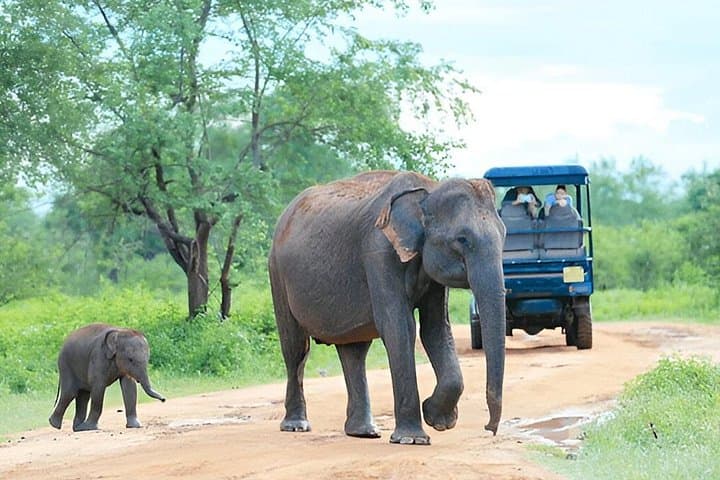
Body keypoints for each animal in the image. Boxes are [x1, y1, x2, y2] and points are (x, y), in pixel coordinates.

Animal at [268, 170, 506, 445]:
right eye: (462, 239)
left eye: (504, 234)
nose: (490, 428)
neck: (427, 191)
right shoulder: (378, 251)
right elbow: (399, 326)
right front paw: (412, 439)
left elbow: (435, 329)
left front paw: (437, 419)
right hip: (277, 272)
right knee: (296, 347)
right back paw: (296, 425)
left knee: (354, 351)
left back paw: (363, 432)